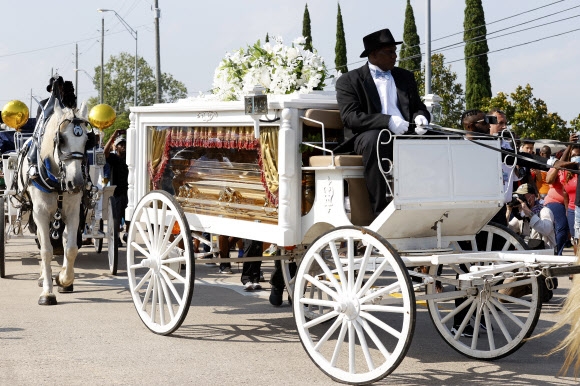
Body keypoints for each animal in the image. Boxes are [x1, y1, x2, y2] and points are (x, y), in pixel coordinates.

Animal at [19, 101, 89, 306]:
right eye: (62, 139)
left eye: (87, 140)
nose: (77, 183)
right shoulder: (40, 213)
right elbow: (46, 251)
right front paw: (47, 292)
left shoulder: (73, 212)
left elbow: (71, 248)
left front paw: (64, 280)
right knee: (43, 242)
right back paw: (44, 277)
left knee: (64, 240)